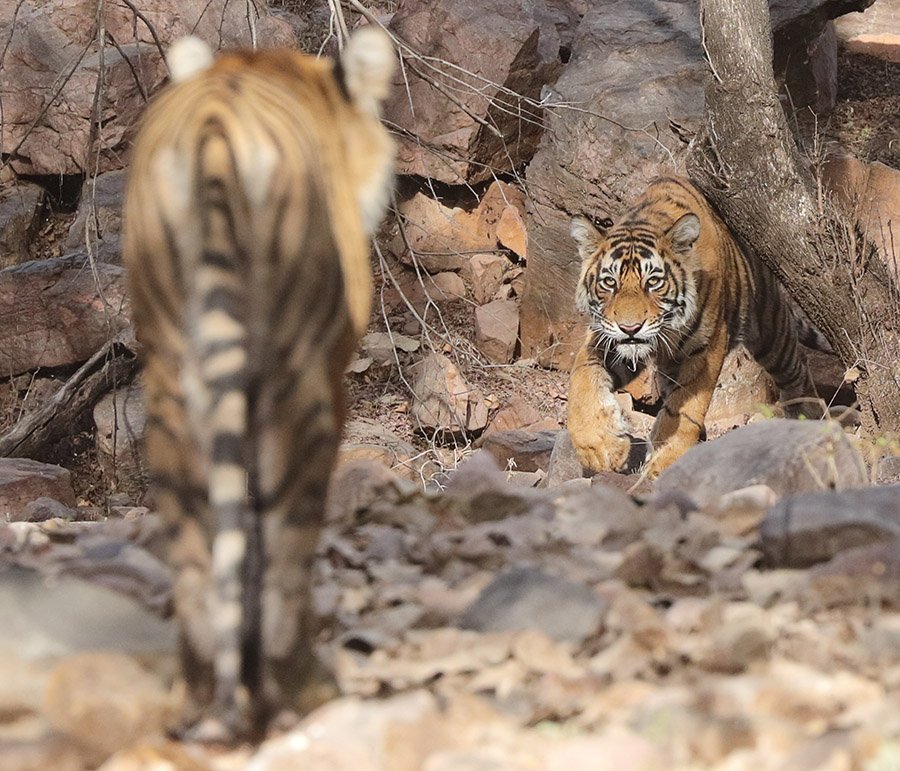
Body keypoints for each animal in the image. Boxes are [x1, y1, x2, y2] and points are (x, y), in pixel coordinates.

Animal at [122, 28, 395, 739]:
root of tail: (216, 124)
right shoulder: (329, 372)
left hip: (169, 378)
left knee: (195, 549)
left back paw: (199, 696)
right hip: (298, 384)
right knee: (286, 544)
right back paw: (295, 691)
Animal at [567, 176, 825, 479]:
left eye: (653, 282)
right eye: (609, 282)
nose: (630, 328)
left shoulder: (706, 349)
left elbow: (686, 406)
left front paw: (666, 460)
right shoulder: (606, 338)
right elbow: (582, 380)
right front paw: (599, 448)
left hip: (770, 327)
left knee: (796, 370)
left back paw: (806, 417)